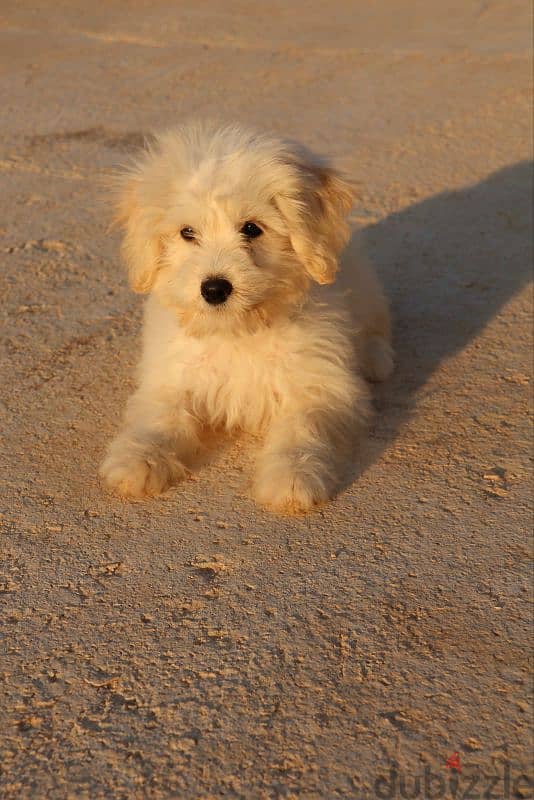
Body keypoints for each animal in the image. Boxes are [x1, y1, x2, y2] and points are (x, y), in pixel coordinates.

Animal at [100, 125, 394, 512]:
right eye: (187, 232)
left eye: (252, 228)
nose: (214, 289)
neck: (238, 332)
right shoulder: (172, 376)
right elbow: (159, 417)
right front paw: (138, 461)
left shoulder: (319, 383)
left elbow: (302, 426)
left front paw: (292, 477)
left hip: (365, 287)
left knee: (377, 327)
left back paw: (376, 359)